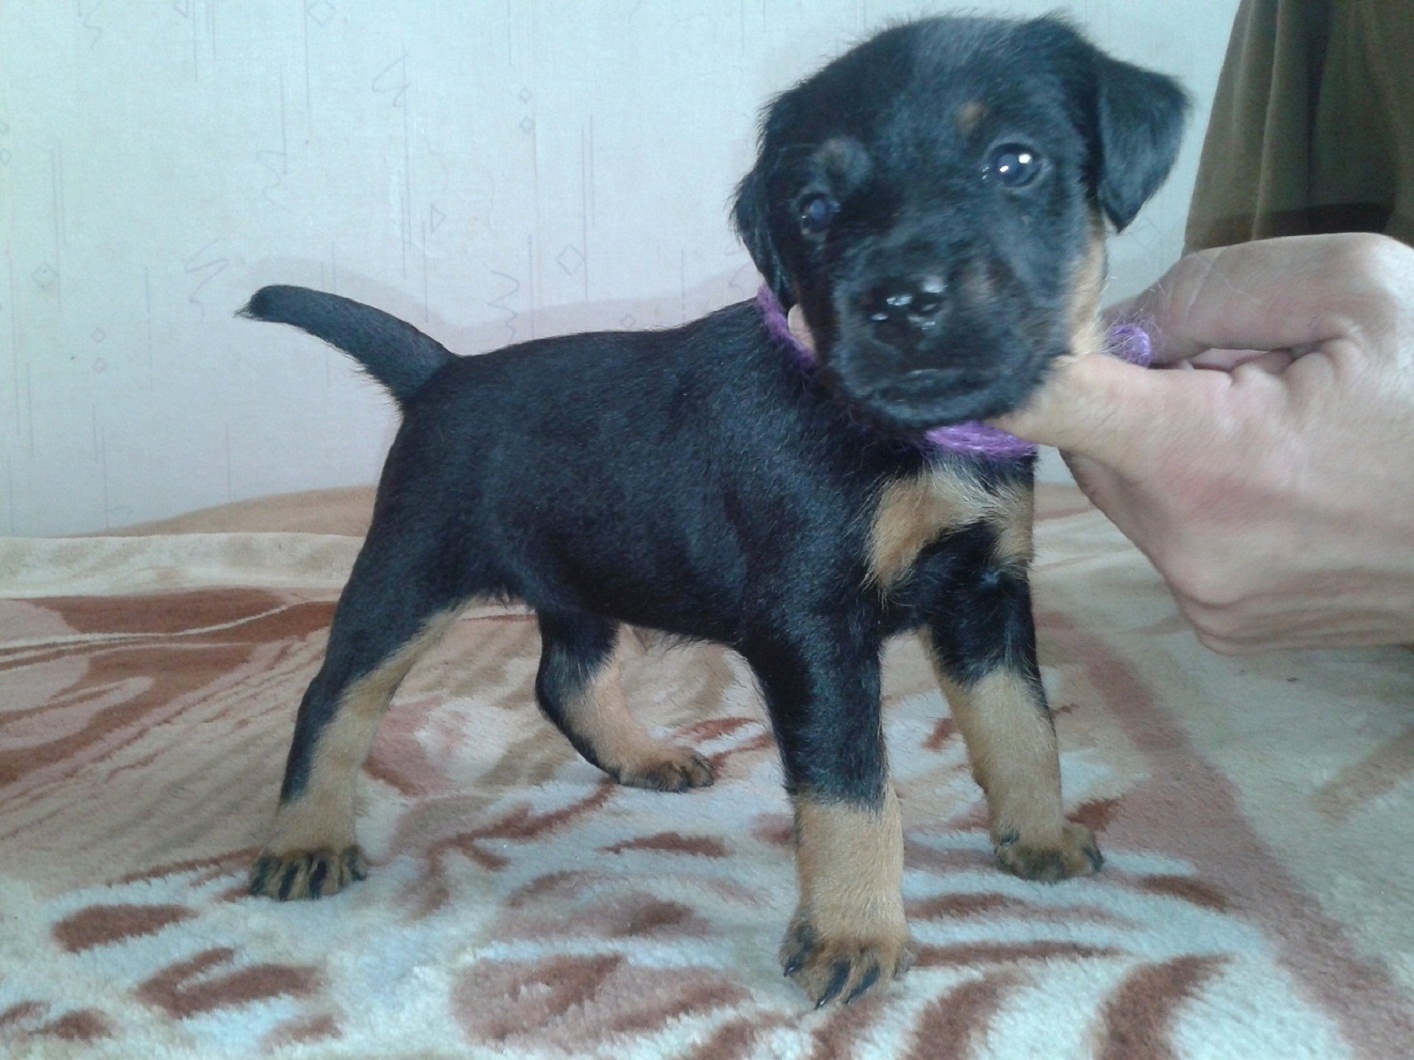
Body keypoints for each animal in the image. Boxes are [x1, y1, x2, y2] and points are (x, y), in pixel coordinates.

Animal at [240, 14, 1186, 1006]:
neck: (901, 434)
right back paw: (306, 838)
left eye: (1016, 162)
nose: (898, 304)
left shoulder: (985, 596)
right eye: (814, 207)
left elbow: (1022, 726)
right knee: (336, 696)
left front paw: (1037, 835)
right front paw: (856, 930)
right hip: (409, 576)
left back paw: (642, 756)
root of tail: (439, 374)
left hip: (584, 575)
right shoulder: (814, 632)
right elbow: (853, 788)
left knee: (566, 677)